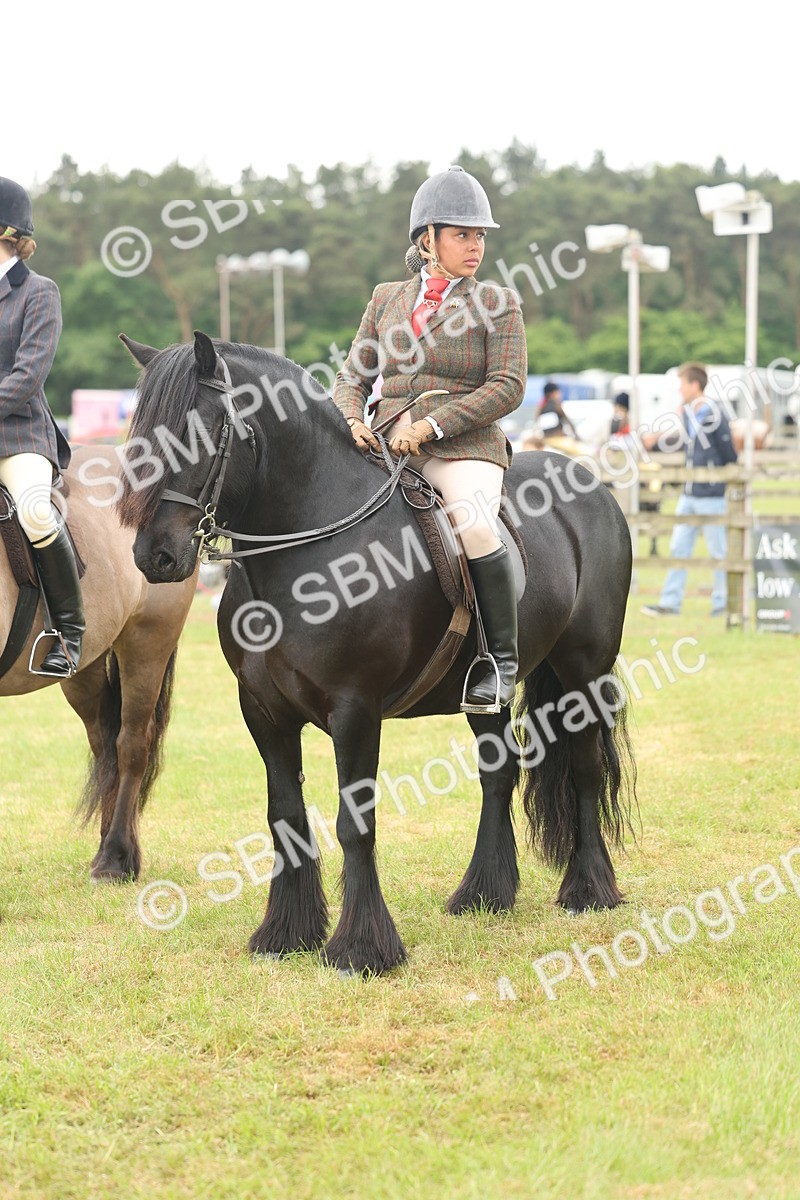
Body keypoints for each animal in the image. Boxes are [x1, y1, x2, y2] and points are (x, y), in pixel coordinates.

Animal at [117, 330, 637, 976]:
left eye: (203, 429)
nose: (155, 556)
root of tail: (590, 484)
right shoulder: (262, 710)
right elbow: (285, 816)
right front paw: (286, 933)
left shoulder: (355, 711)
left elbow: (353, 823)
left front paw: (362, 948)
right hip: (483, 694)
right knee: (500, 771)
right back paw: (483, 895)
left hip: (584, 672)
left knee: (586, 768)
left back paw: (588, 889)